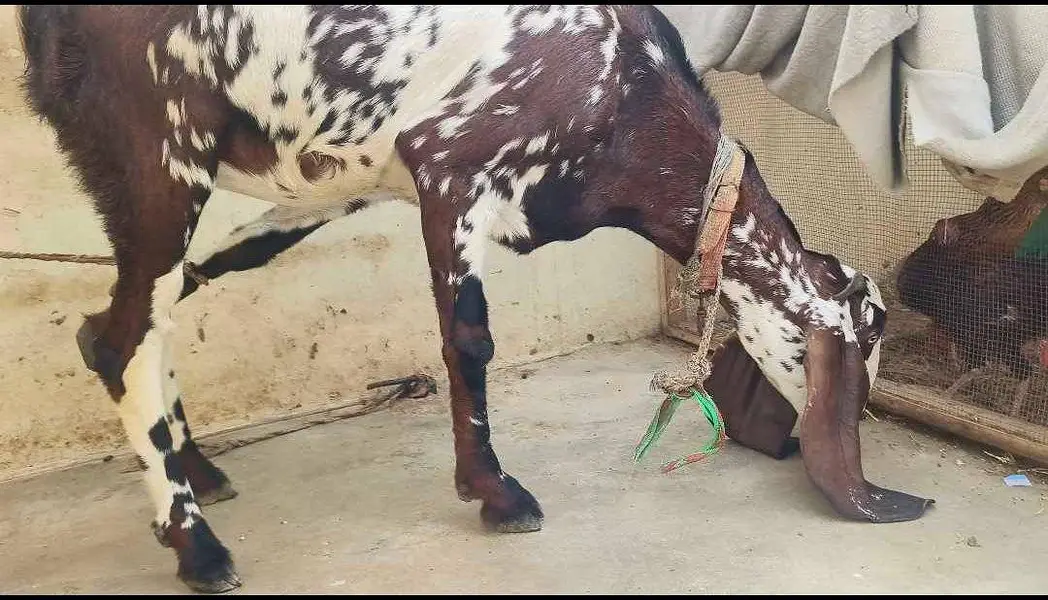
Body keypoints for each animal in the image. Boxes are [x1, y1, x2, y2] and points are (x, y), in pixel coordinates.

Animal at [18, 5, 931, 593]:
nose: (834, 432)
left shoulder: (345, 189)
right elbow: (469, 340)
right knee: (123, 338)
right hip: (158, 154)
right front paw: (497, 493)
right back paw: (197, 548)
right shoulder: (452, 172)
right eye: (868, 339)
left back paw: (200, 473)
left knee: (132, 318)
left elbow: (214, 271)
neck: (622, 91)